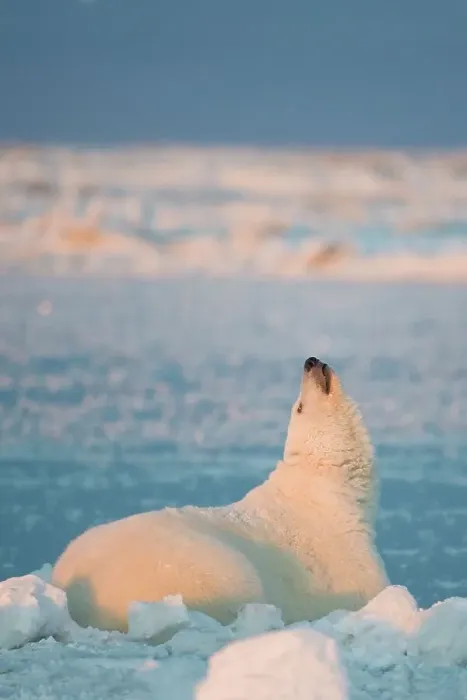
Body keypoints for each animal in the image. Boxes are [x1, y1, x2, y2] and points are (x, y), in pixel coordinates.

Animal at [52, 356, 389, 633]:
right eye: (300, 406)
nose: (310, 362)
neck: (326, 484)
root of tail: (68, 588)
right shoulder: (341, 548)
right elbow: (369, 591)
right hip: (196, 566)